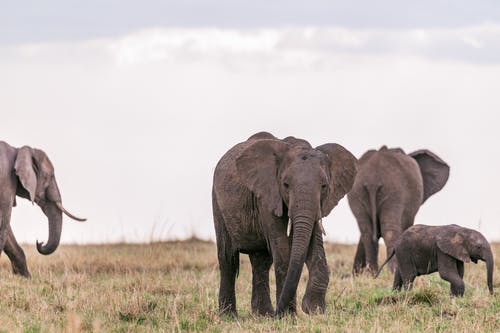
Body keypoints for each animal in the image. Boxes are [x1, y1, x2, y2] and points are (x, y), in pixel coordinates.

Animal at [0, 141, 86, 276]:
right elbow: (3, 223)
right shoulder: (6, 181)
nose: (39, 242)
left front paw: (25, 277)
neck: (18, 151)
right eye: (49, 176)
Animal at [213, 131, 358, 316]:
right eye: (286, 185)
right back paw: (229, 316)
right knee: (228, 260)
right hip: (217, 203)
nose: (278, 312)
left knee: (261, 262)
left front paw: (314, 309)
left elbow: (314, 246)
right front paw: (288, 316)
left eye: (324, 186)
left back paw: (263, 315)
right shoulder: (268, 196)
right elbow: (283, 251)